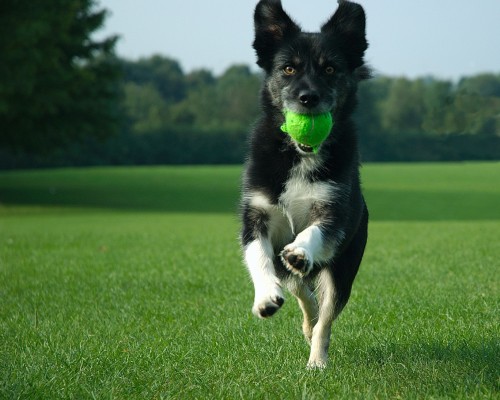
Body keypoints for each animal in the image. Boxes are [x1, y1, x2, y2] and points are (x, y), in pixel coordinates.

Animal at [240, 0, 370, 368]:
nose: (308, 98)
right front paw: (265, 297)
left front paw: (300, 251)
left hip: (343, 270)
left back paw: (317, 360)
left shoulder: (333, 213)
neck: (299, 156)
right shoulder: (256, 213)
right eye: (287, 69)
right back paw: (305, 320)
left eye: (329, 69)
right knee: (302, 292)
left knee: (325, 316)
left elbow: (314, 233)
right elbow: (258, 255)